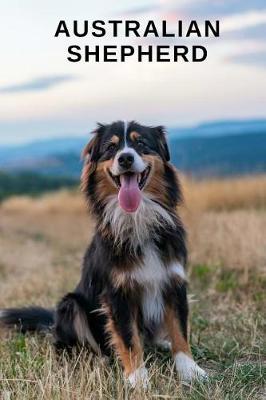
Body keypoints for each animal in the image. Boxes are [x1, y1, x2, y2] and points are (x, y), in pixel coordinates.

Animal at [0, 121, 206, 388]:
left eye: (141, 143)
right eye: (111, 147)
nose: (126, 158)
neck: (137, 220)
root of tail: (53, 322)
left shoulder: (174, 282)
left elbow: (180, 330)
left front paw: (191, 371)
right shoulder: (118, 292)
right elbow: (128, 338)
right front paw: (137, 379)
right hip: (70, 305)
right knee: (71, 346)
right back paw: (97, 359)